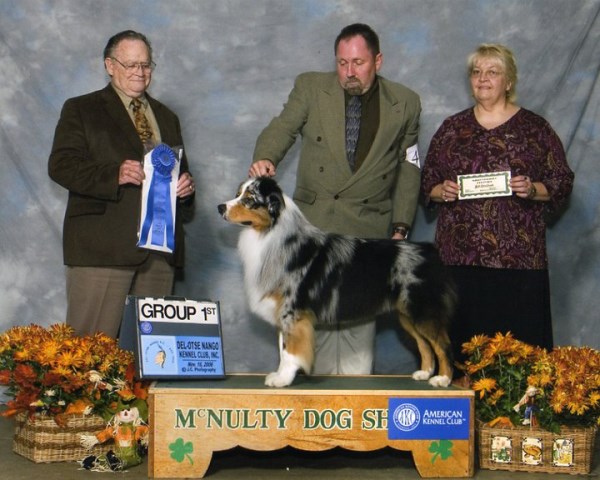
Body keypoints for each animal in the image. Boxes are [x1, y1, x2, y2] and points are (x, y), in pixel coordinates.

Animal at [218, 178, 458, 388]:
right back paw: (424, 373)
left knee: (442, 344)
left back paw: (443, 380)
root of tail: (430, 250)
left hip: (423, 309)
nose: (220, 207)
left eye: (249, 198)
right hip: (407, 315)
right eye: (238, 193)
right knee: (425, 344)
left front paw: (283, 380)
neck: (273, 235)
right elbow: (282, 348)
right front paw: (279, 375)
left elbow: (290, 351)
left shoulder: (292, 311)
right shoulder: (282, 311)